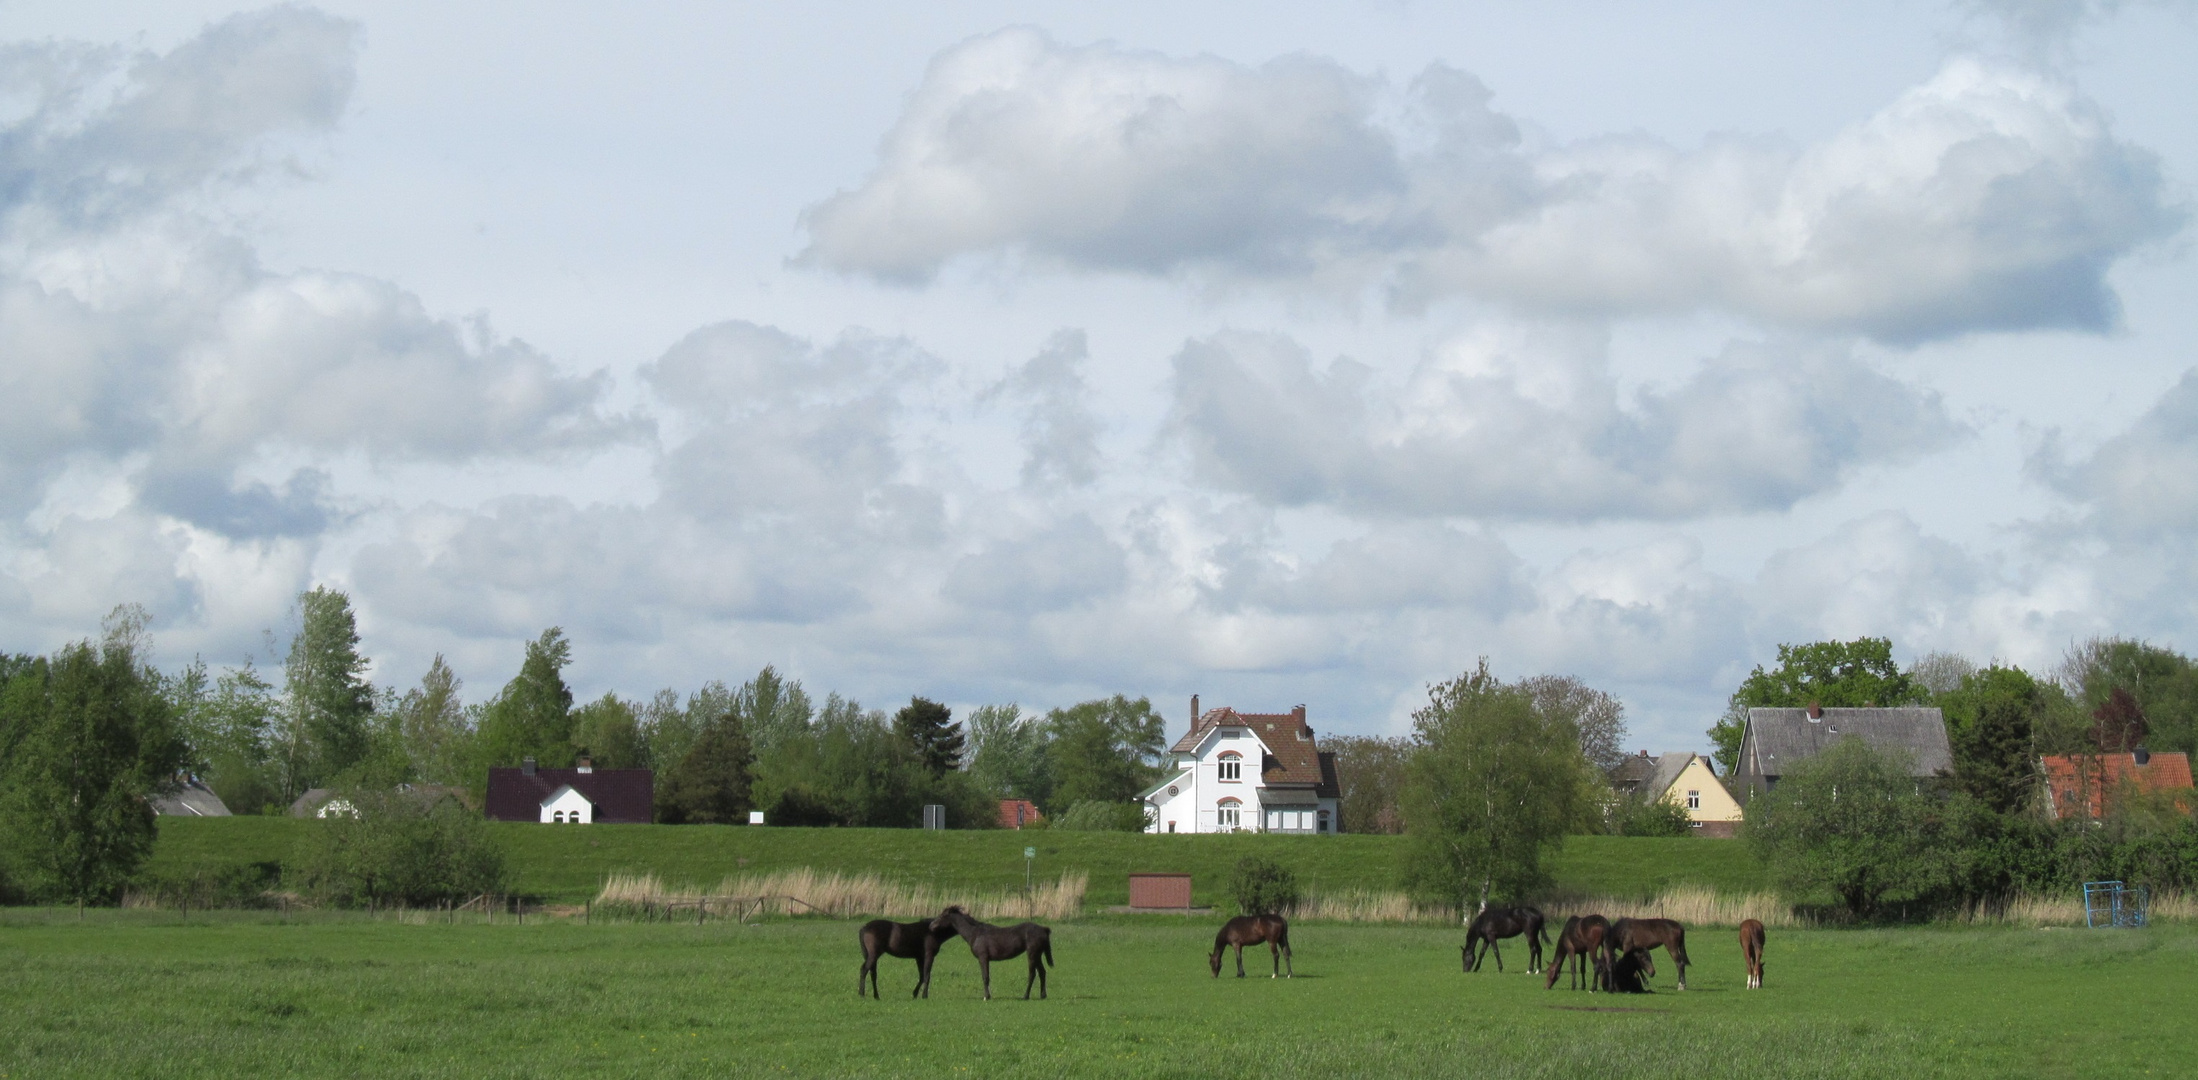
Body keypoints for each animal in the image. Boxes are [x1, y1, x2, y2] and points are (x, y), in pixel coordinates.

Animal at [927, 910, 1055, 1003]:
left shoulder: (983, 958)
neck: (975, 933)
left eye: (942, 916)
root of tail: (1044, 929)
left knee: (1032, 974)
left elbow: (985, 977)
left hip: (1032, 954)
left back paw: (1025, 996)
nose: (931, 925)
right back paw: (1043, 995)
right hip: (1038, 955)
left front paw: (986, 997)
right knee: (1042, 972)